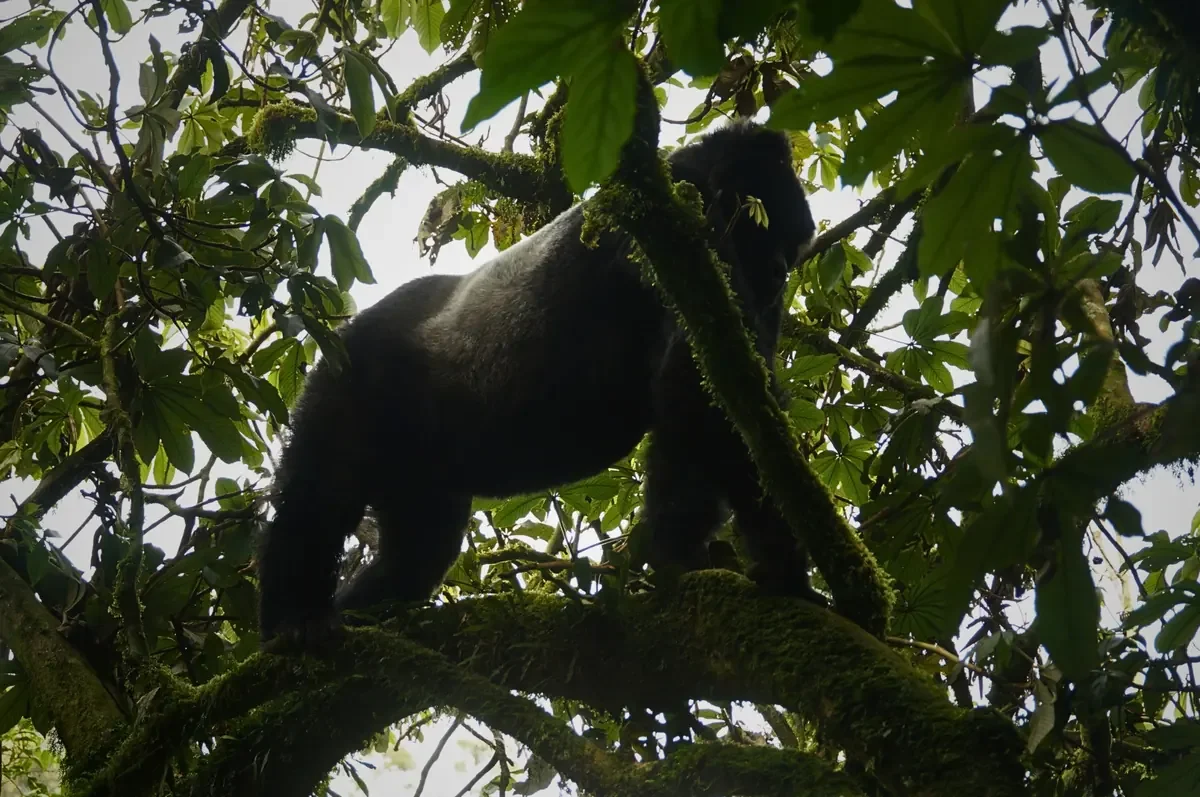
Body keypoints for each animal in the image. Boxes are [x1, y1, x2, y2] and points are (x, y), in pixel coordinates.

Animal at [257, 120, 821, 644]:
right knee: (319, 495)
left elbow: (697, 411)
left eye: (794, 247)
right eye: (771, 224)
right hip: (346, 375)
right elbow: (704, 396)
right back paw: (293, 615)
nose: (779, 271)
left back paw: (367, 610)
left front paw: (680, 554)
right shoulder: (682, 213)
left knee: (420, 549)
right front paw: (784, 564)